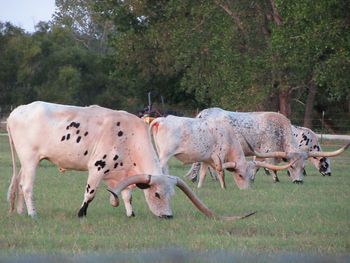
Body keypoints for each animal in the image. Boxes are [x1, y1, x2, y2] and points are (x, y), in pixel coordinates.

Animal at [6, 101, 254, 221]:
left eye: (171, 195)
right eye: (157, 194)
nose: (168, 217)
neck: (129, 136)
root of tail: (17, 111)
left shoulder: (123, 174)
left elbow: (127, 194)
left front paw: (130, 213)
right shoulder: (96, 169)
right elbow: (90, 193)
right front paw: (81, 213)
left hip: (25, 162)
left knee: (19, 183)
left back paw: (20, 212)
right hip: (31, 159)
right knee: (27, 186)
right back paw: (33, 214)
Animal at [149, 115, 292, 190]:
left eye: (249, 175)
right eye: (240, 175)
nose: (246, 189)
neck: (228, 136)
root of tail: (161, 119)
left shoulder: (206, 160)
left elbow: (203, 174)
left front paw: (199, 188)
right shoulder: (219, 156)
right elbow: (220, 171)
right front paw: (224, 187)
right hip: (165, 154)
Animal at [186, 107, 348, 184]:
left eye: (302, 166)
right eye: (325, 164)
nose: (298, 182)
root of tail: (203, 113)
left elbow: (259, 166)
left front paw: (252, 177)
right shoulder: (268, 151)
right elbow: (270, 166)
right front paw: (275, 178)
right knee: (197, 163)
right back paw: (194, 178)